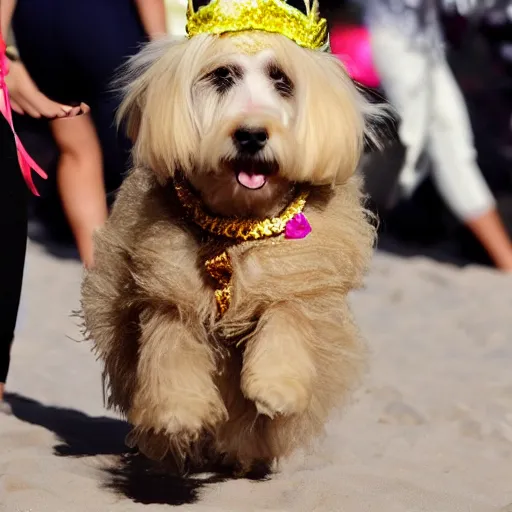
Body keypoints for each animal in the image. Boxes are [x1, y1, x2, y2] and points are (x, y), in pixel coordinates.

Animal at [82, 29, 382, 476]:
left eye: (281, 79)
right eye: (223, 75)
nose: (252, 134)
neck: (237, 224)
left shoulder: (297, 277)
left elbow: (287, 317)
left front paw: (275, 387)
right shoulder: (171, 289)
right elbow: (170, 346)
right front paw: (177, 410)